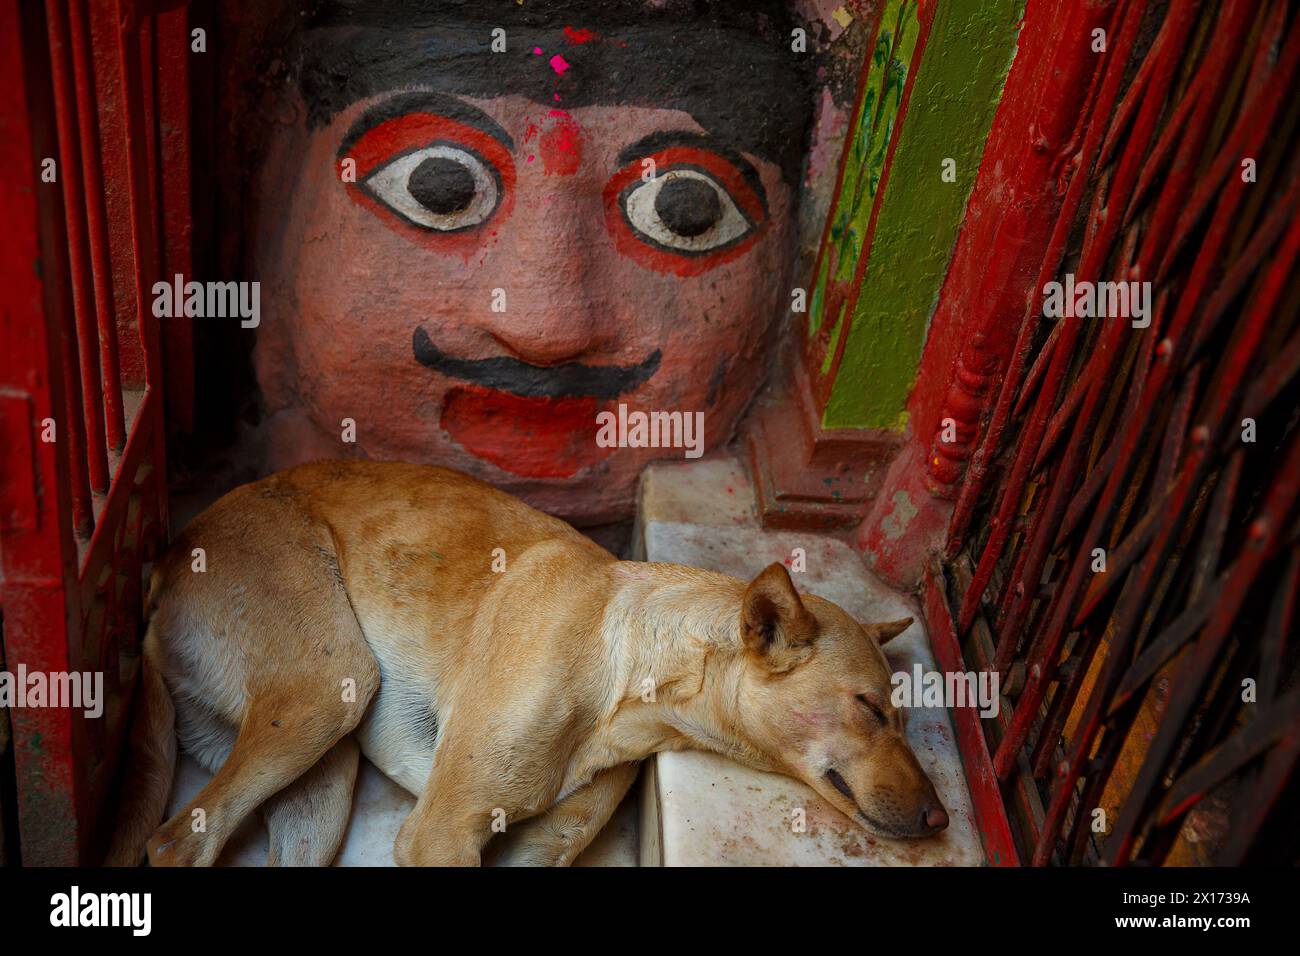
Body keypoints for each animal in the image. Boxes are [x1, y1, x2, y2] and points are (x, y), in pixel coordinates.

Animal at [109, 460, 946, 868]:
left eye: (903, 716)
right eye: (870, 708)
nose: (942, 820)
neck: (626, 659)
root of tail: (167, 559)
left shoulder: (540, 850)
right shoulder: (440, 833)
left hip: (323, 783)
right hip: (324, 695)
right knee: (177, 840)